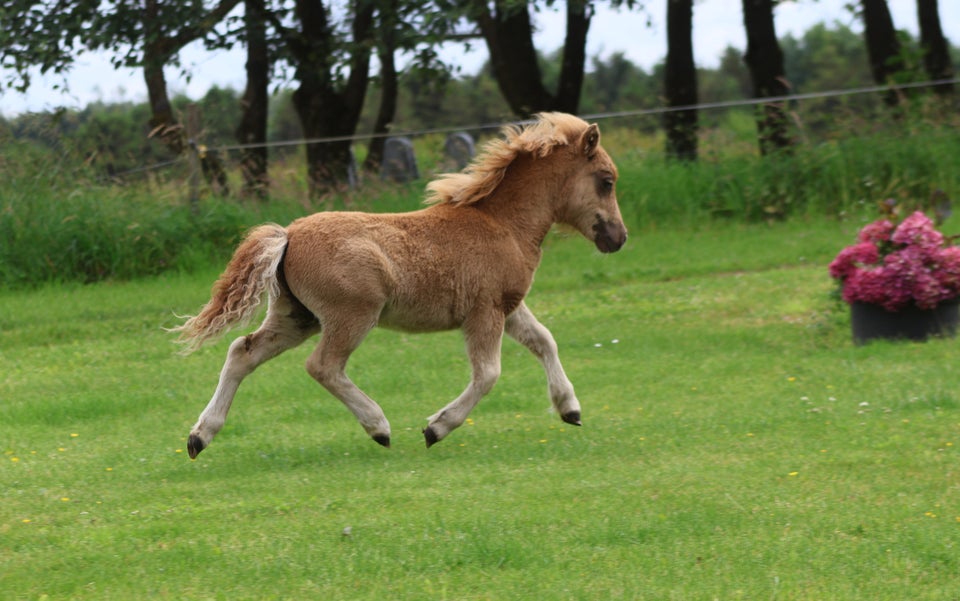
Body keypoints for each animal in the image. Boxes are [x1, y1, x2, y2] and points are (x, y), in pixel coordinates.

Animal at [174, 112, 632, 458]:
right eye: (606, 180)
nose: (618, 238)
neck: (501, 223)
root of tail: (288, 235)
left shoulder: (509, 305)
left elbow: (544, 341)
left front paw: (570, 409)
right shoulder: (485, 311)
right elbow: (488, 373)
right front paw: (437, 427)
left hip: (296, 317)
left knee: (242, 353)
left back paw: (200, 436)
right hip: (351, 315)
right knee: (322, 366)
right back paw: (378, 426)